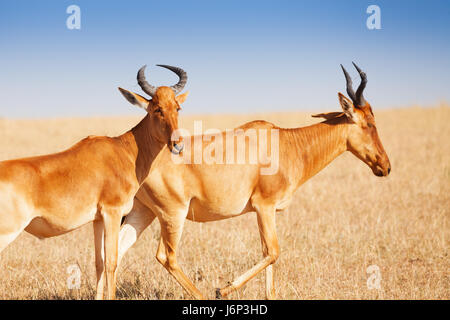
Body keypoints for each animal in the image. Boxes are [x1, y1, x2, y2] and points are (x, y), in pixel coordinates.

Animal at [0, 63, 188, 298]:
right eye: (157, 109)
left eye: (177, 108)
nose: (178, 145)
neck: (123, 151)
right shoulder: (112, 212)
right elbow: (111, 262)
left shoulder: (97, 219)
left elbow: (99, 263)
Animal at [111, 63, 390, 300]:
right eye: (369, 123)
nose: (385, 166)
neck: (285, 143)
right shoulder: (263, 206)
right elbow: (274, 252)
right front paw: (222, 289)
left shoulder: (267, 211)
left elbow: (269, 257)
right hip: (173, 213)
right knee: (166, 256)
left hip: (143, 212)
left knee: (117, 250)